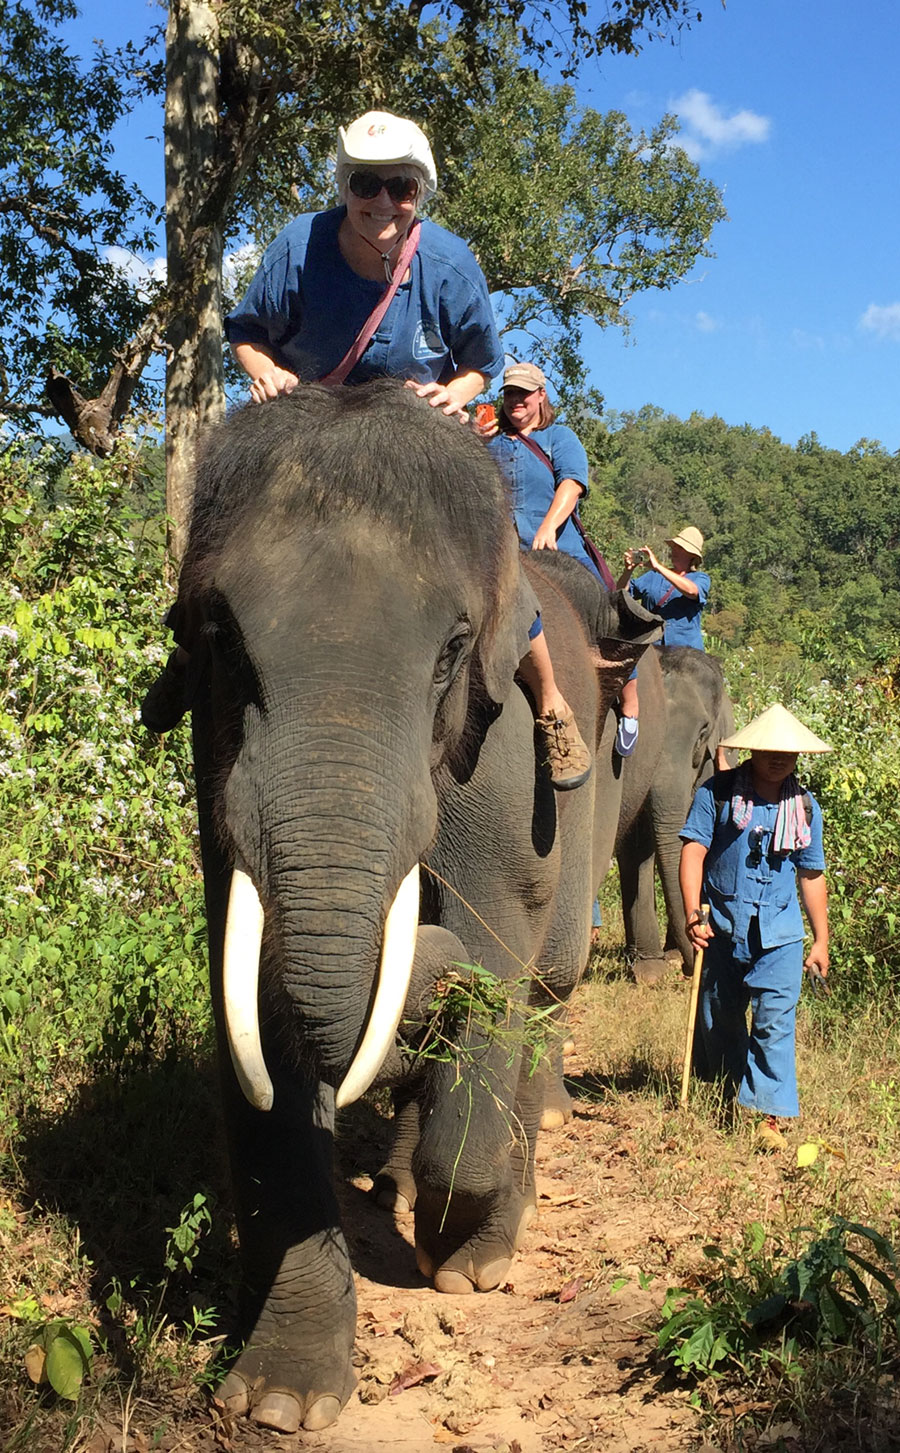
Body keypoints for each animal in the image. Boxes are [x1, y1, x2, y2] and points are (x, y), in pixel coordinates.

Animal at [172, 380, 663, 1435]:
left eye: (450, 652)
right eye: (222, 640)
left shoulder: (506, 771)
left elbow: (495, 939)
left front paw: (458, 1253)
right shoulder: (213, 771)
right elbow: (259, 1013)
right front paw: (281, 1401)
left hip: (586, 800)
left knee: (547, 990)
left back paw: (492, 1231)